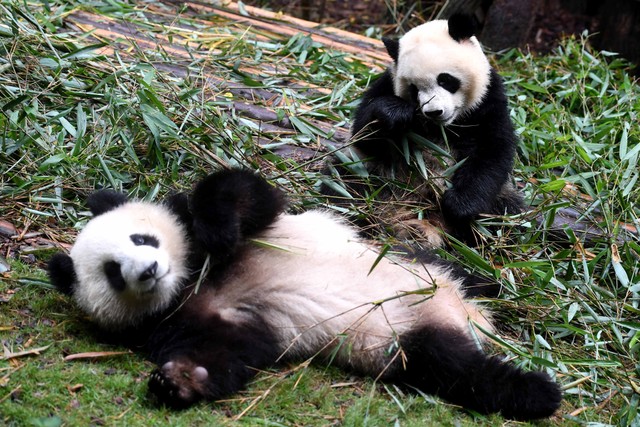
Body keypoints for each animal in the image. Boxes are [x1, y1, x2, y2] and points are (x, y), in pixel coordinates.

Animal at [47, 169, 560, 420]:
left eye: (142, 239)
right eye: (113, 273)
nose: (151, 269)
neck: (192, 279)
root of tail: (468, 316)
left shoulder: (256, 228)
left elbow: (240, 194)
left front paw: (216, 230)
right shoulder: (196, 318)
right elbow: (228, 351)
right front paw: (180, 380)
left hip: (414, 264)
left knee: (458, 271)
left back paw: (506, 297)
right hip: (402, 339)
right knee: (458, 368)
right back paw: (537, 390)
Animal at [323, 14, 523, 247]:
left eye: (445, 80)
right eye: (414, 88)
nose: (434, 111)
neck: (445, 126)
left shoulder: (488, 100)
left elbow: (492, 151)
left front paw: (459, 205)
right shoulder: (387, 83)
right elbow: (365, 133)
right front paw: (395, 112)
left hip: (500, 200)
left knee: (506, 214)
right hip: (370, 172)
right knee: (342, 185)